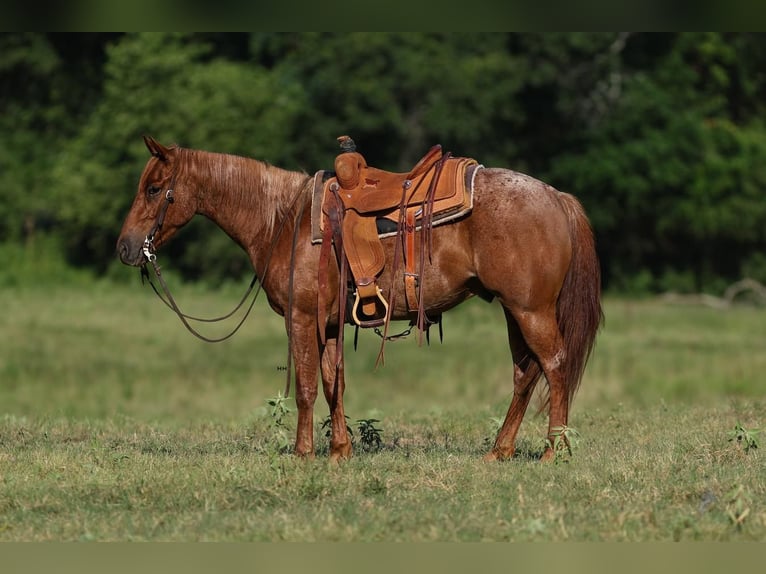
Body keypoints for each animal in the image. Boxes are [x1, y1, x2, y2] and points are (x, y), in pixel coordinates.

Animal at [117, 137, 604, 466]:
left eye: (155, 189)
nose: (125, 247)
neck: (284, 219)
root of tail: (555, 196)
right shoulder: (330, 323)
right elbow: (334, 383)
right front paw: (339, 450)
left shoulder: (301, 318)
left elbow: (307, 387)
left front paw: (303, 453)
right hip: (512, 310)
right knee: (525, 373)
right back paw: (500, 451)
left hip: (530, 311)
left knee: (554, 365)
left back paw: (555, 451)